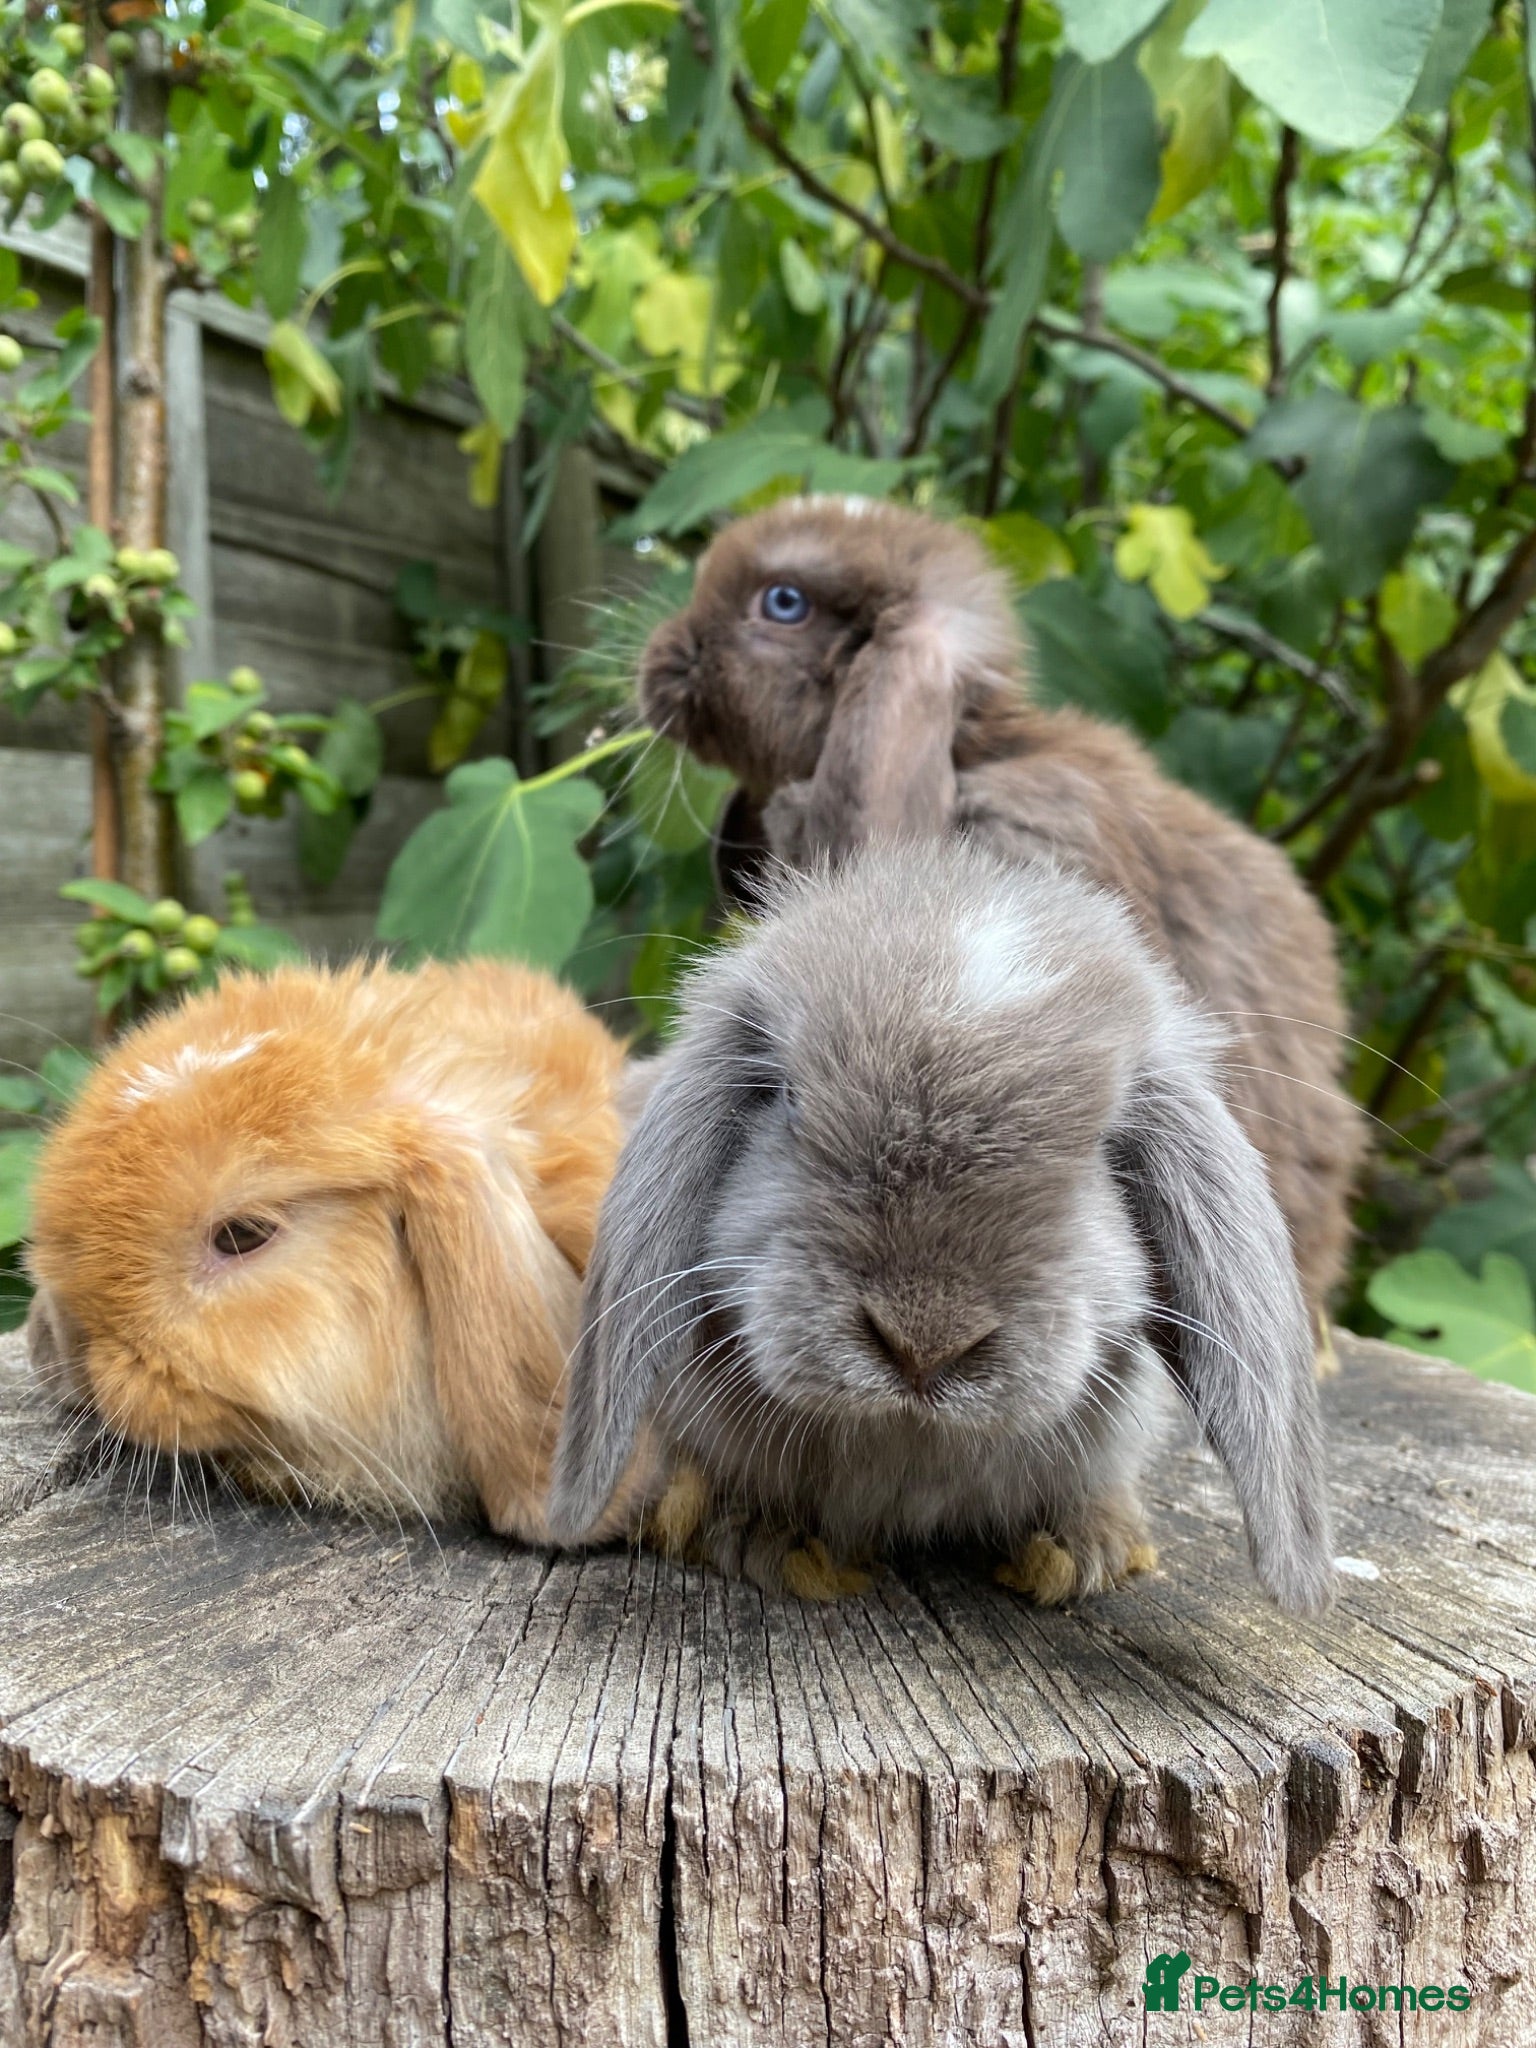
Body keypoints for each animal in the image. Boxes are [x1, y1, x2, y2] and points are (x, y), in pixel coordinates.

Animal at [547, 838, 1337, 1616]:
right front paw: (768, 1539)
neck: (910, 1442)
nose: (924, 1343)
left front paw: (1083, 1552)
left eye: (1108, 1146)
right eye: (786, 1096)